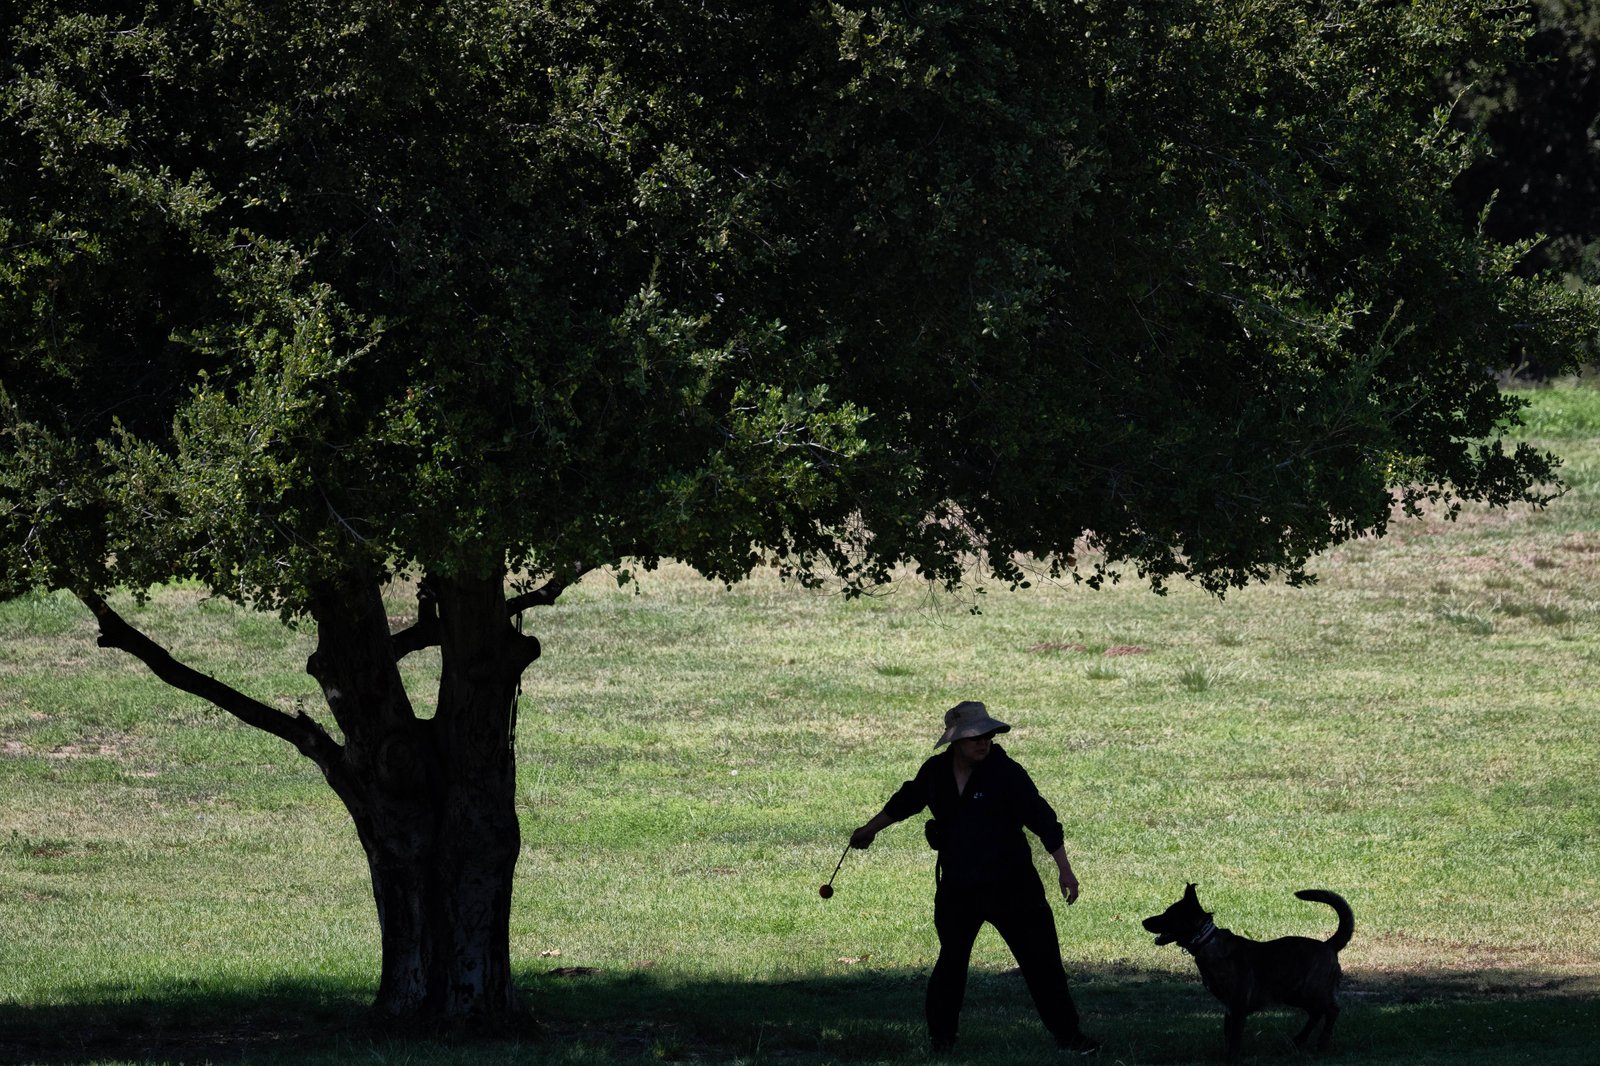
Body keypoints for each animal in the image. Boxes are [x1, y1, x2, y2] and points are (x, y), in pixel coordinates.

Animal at [1145, 877, 1356, 1056]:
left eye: (1168, 914)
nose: (1143, 921)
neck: (1206, 940)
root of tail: (1329, 945)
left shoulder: (1238, 1007)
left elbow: (1235, 1042)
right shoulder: (1229, 1010)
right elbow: (1228, 1038)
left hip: (1308, 991)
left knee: (1331, 1010)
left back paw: (1322, 1043)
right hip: (1293, 994)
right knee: (1316, 1013)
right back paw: (1298, 1040)